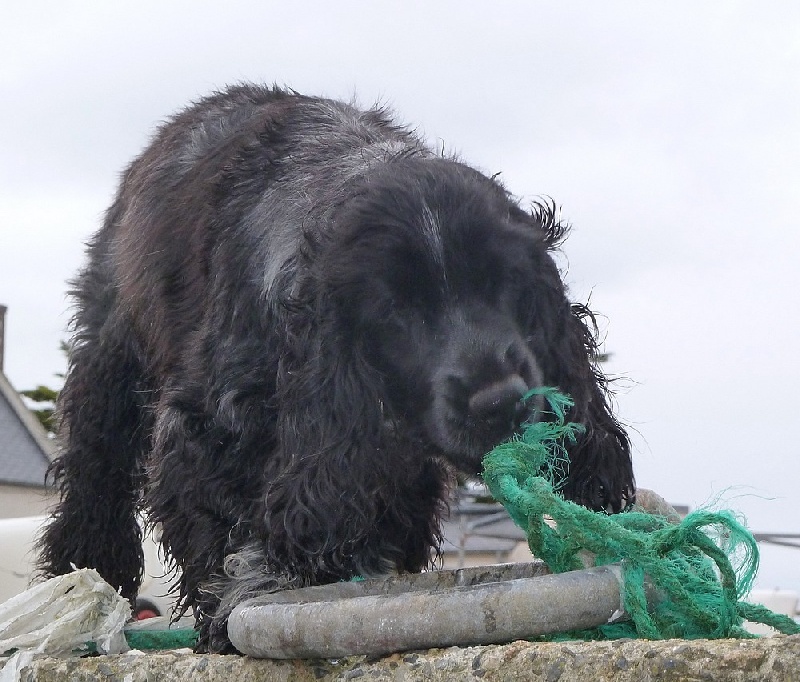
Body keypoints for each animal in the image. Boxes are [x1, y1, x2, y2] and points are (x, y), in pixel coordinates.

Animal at [37, 82, 636, 652]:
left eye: (505, 281)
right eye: (395, 309)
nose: (501, 402)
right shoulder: (208, 422)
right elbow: (222, 526)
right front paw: (242, 603)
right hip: (113, 351)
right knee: (97, 472)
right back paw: (84, 583)